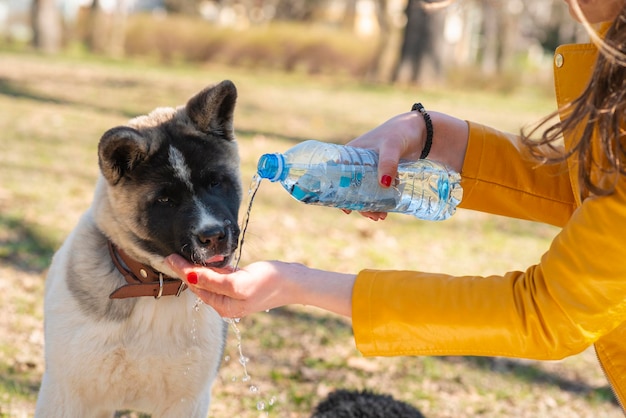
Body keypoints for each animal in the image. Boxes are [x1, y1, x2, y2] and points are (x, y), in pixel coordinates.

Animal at [34, 80, 241, 416]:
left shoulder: (187, 401)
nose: (213, 236)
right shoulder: (67, 395)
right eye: (165, 200)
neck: (153, 286)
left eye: (215, 182)